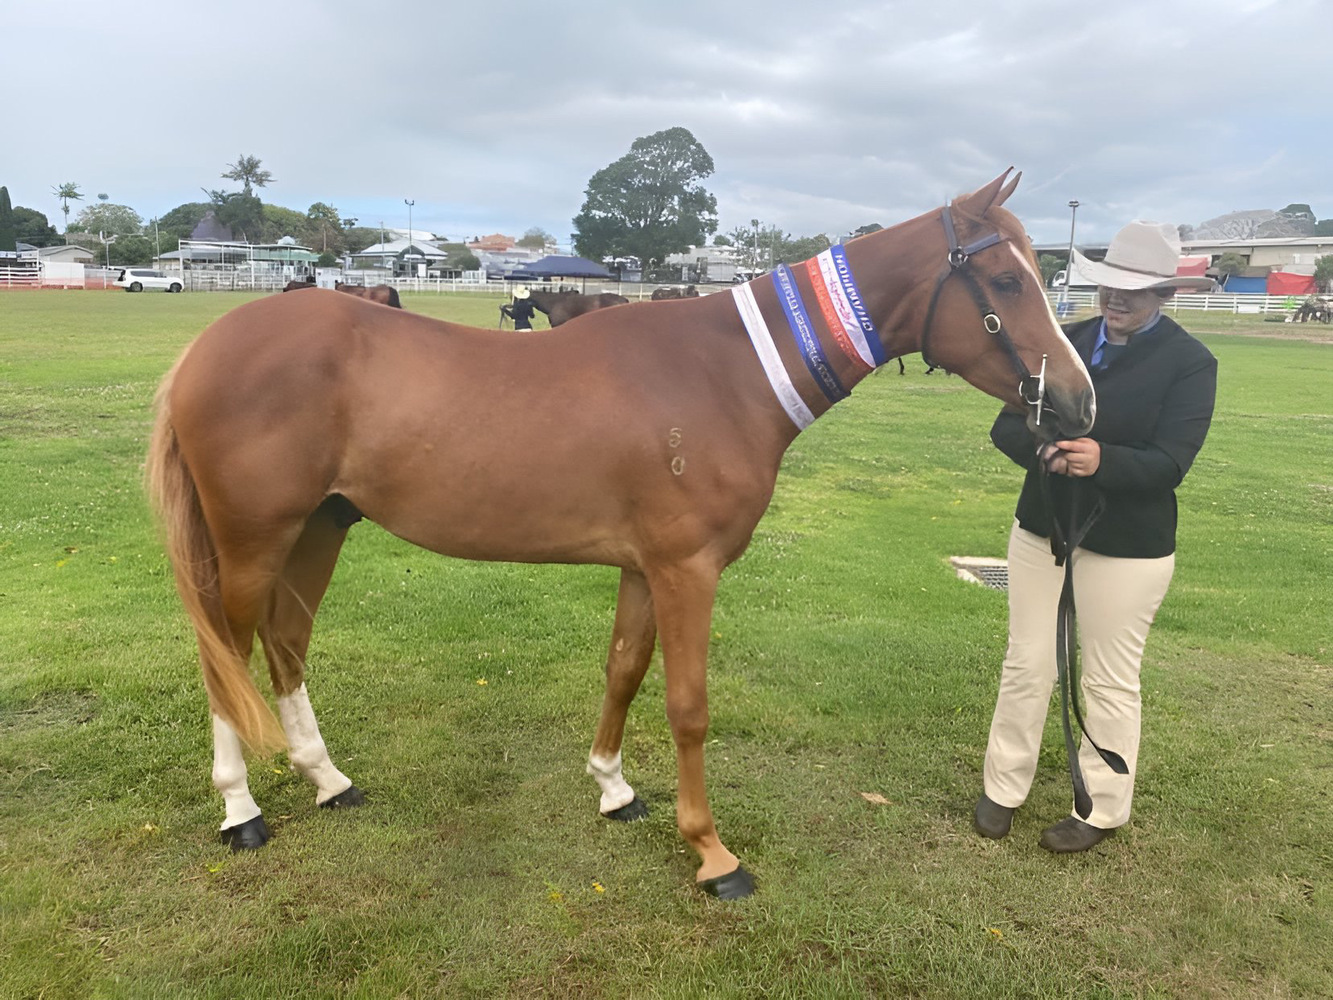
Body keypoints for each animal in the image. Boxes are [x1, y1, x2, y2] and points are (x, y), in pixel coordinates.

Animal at [145, 169, 1094, 900]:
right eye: (1005, 283)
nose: (1079, 404)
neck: (726, 373)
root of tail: (204, 349)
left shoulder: (646, 569)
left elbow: (624, 672)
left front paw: (612, 788)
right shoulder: (687, 571)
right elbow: (687, 706)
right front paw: (710, 852)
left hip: (320, 528)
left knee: (285, 642)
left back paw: (328, 780)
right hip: (253, 539)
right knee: (226, 654)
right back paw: (241, 810)